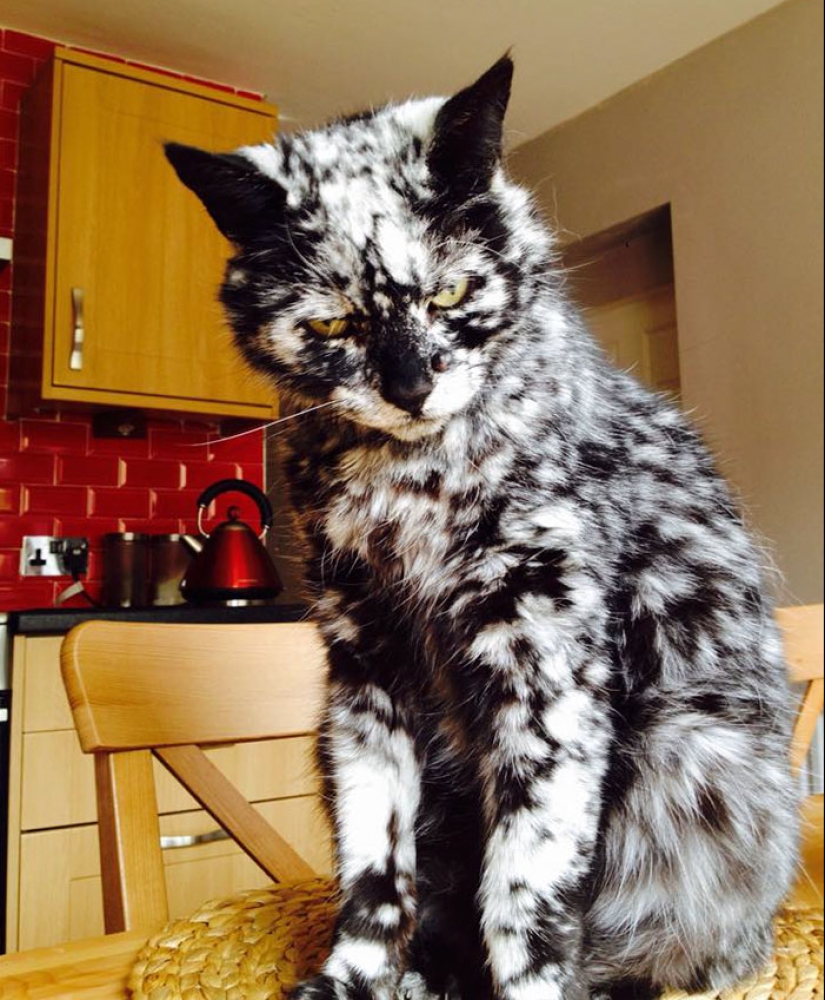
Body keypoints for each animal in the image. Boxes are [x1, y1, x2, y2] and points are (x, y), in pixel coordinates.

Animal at [166, 58, 800, 1000]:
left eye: (452, 292)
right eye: (330, 324)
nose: (409, 386)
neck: (408, 491)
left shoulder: (545, 672)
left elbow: (524, 886)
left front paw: (527, 983)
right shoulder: (365, 674)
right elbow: (374, 866)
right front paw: (356, 977)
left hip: (689, 760)